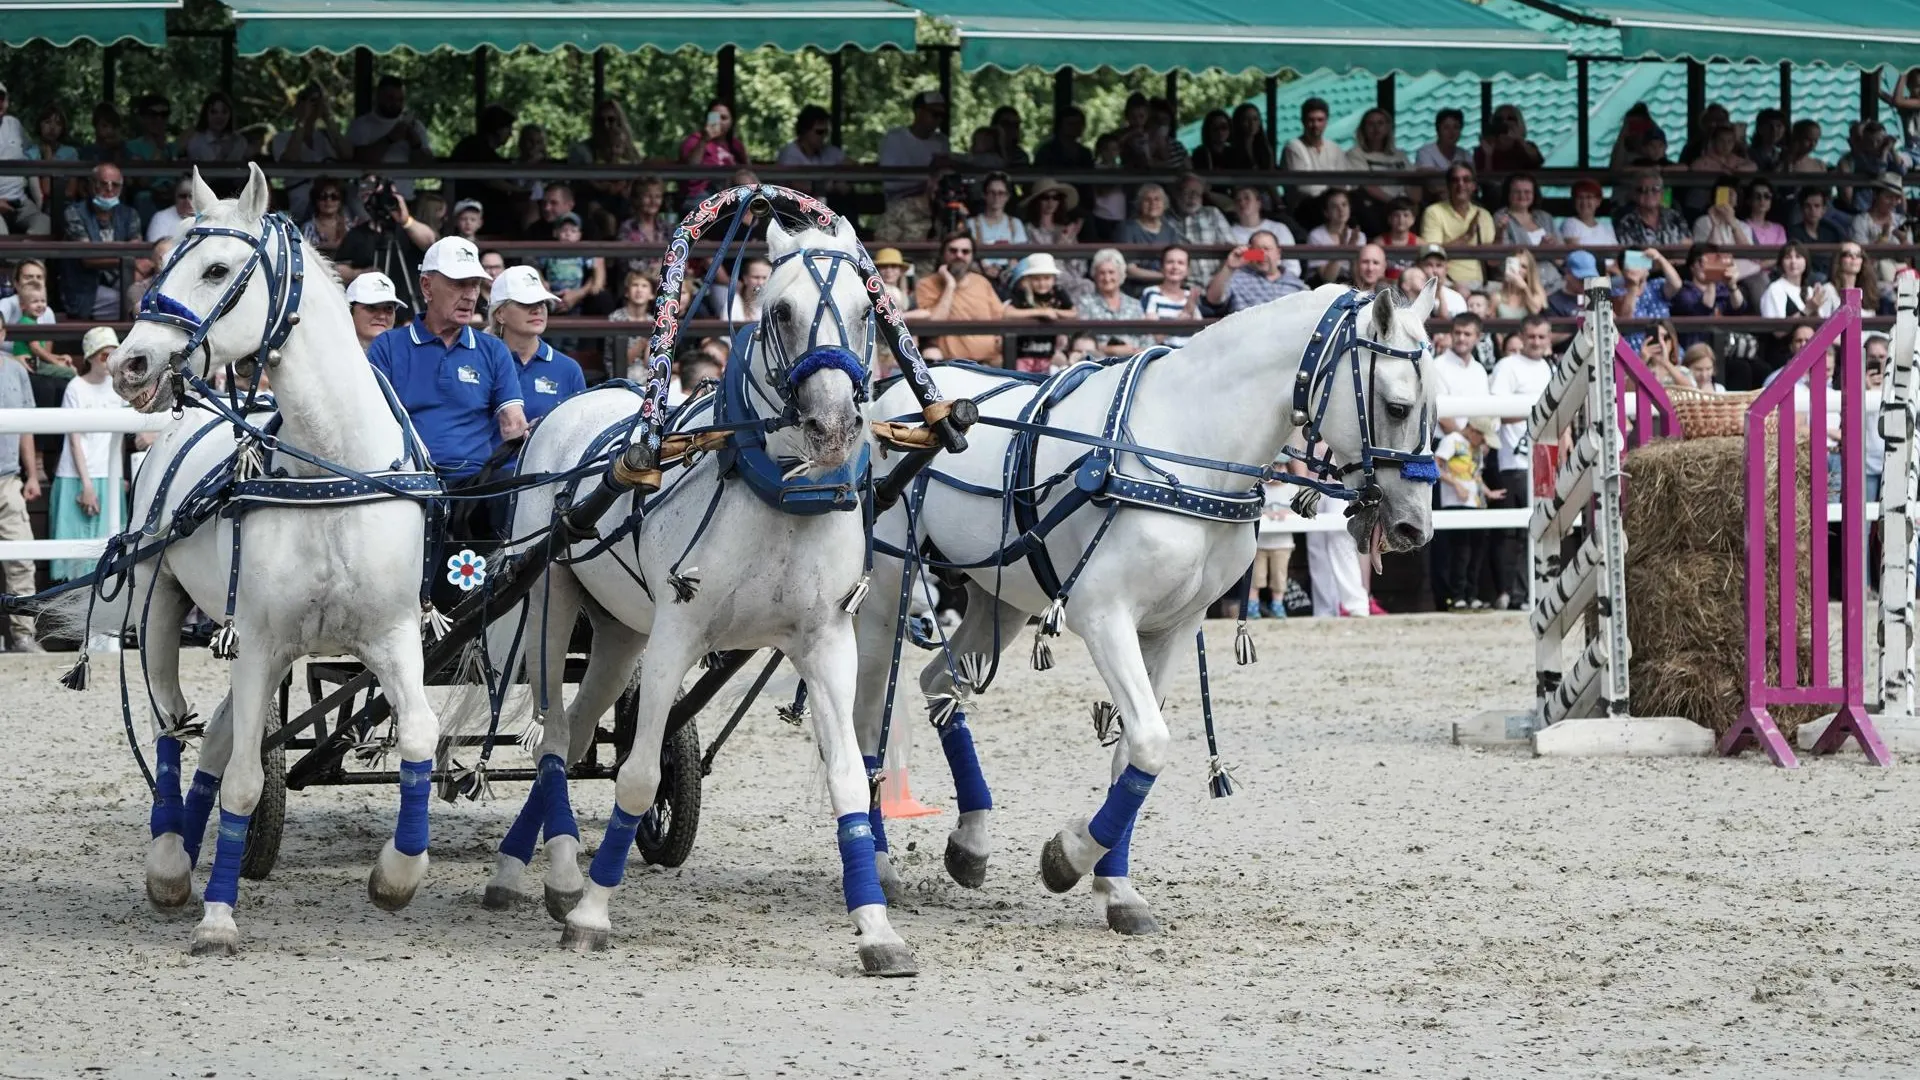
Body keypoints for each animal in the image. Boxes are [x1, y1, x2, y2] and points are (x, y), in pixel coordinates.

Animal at [77, 161, 439, 949]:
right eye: (161, 261)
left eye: (216, 268)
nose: (131, 364)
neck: (330, 473)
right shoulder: (259, 642)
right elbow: (246, 777)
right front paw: (217, 914)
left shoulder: (393, 636)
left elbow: (420, 736)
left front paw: (397, 876)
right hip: (162, 611)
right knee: (173, 725)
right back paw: (171, 860)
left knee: (212, 736)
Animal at [476, 208, 917, 968]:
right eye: (780, 310)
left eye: (869, 311)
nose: (833, 427)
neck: (777, 500)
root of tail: (573, 406)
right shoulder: (677, 635)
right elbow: (638, 775)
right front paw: (593, 914)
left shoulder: (827, 640)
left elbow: (849, 782)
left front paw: (877, 929)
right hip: (552, 605)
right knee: (554, 741)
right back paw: (549, 878)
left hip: (621, 631)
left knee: (574, 729)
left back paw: (532, 873)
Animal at [856, 282, 1443, 930]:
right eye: (1396, 406)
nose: (1414, 526)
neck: (1187, 451)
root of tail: (888, 397)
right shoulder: (1103, 616)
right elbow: (1153, 742)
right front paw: (1069, 857)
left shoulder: (1174, 627)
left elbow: (1133, 753)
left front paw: (1117, 888)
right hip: (883, 596)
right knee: (867, 718)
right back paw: (879, 863)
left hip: (998, 599)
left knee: (940, 684)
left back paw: (971, 843)